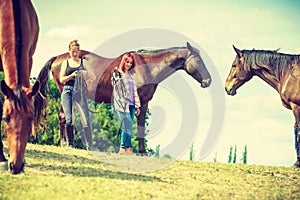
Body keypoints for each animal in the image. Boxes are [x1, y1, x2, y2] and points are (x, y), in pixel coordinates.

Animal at [35, 42, 211, 155]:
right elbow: (134, 124)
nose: (208, 81)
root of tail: (58, 57)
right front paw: (137, 151)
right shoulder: (137, 101)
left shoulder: (143, 102)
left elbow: (137, 124)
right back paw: (65, 143)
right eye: (198, 60)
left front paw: (138, 151)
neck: (146, 68)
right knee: (63, 116)